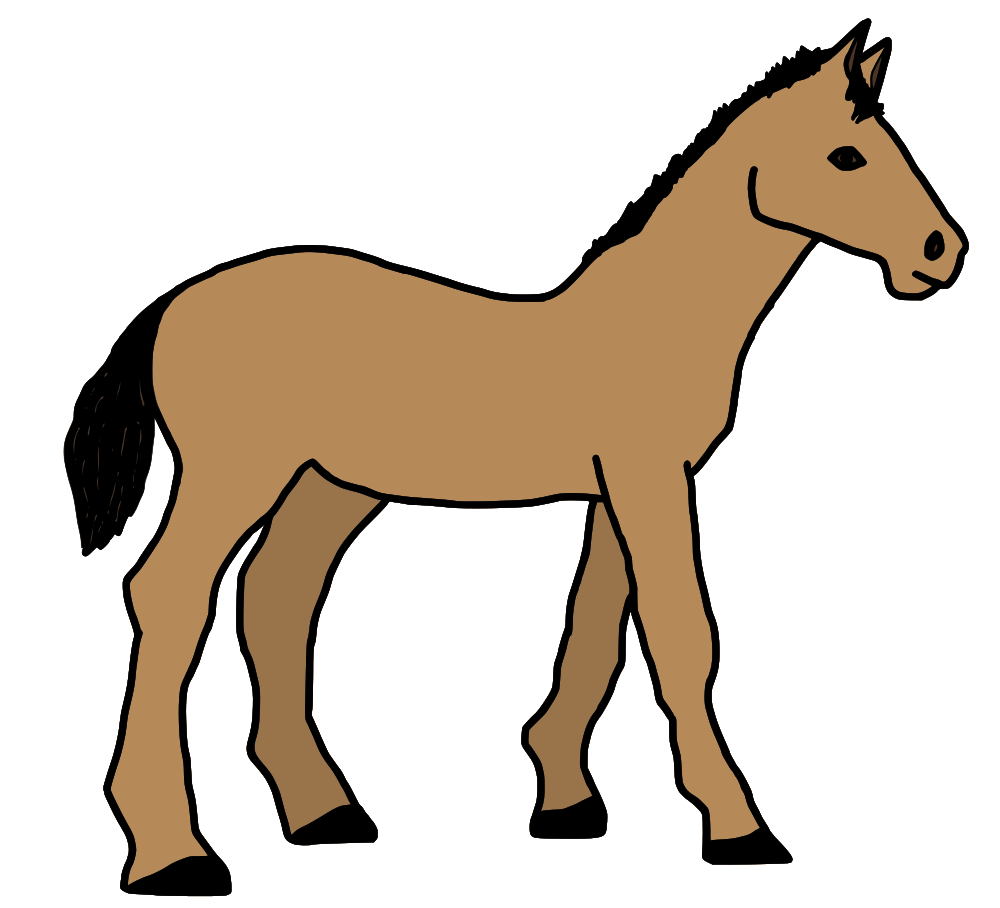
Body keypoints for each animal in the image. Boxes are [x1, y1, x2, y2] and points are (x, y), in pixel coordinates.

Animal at [63, 19, 967, 892]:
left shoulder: (616, 489)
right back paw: (170, 854)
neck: (658, 315)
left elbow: (599, 629)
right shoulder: (646, 478)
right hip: (235, 474)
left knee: (279, 597)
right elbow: (681, 633)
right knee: (171, 595)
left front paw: (565, 799)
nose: (939, 252)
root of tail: (172, 304)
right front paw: (737, 827)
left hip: (329, 485)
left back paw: (322, 812)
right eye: (846, 155)